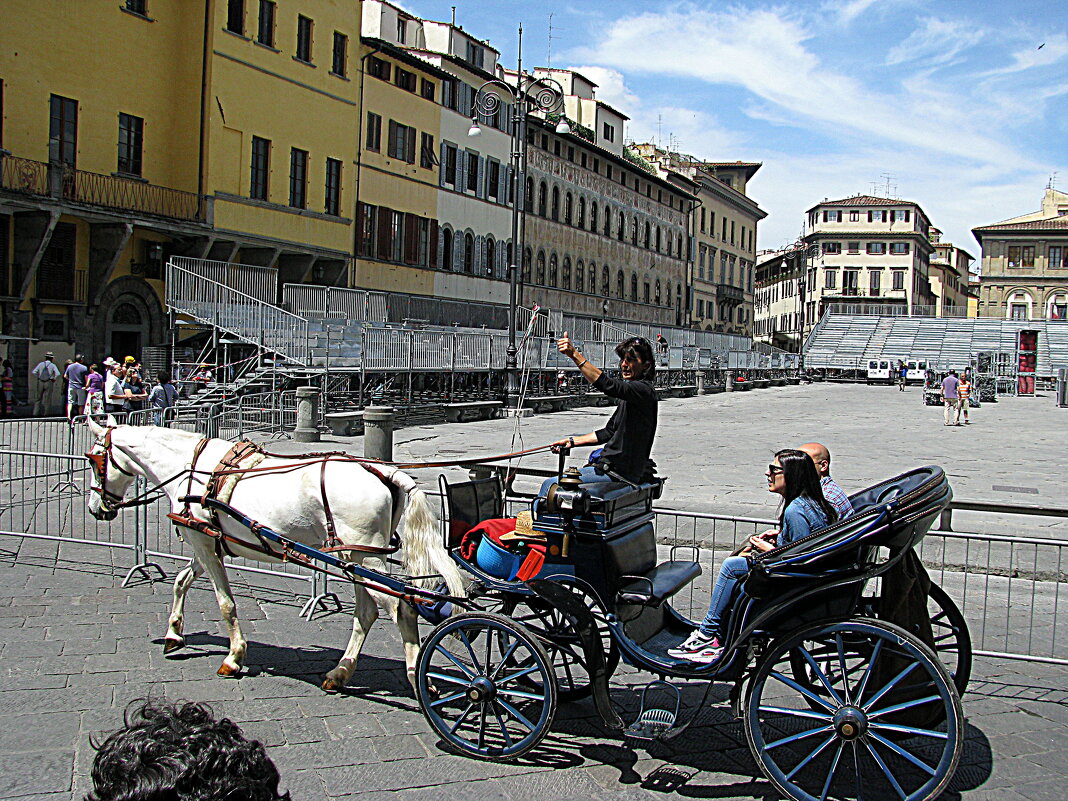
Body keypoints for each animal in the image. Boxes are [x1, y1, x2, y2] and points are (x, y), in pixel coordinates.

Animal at [84, 416, 463, 692]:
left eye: (94, 460)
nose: (95, 509)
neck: (192, 468)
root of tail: (385, 470)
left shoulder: (203, 543)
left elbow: (225, 603)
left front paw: (234, 657)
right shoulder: (205, 540)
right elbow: (181, 580)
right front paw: (174, 633)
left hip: (364, 557)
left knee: (401, 606)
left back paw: (415, 676)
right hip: (356, 558)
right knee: (368, 611)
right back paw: (340, 672)